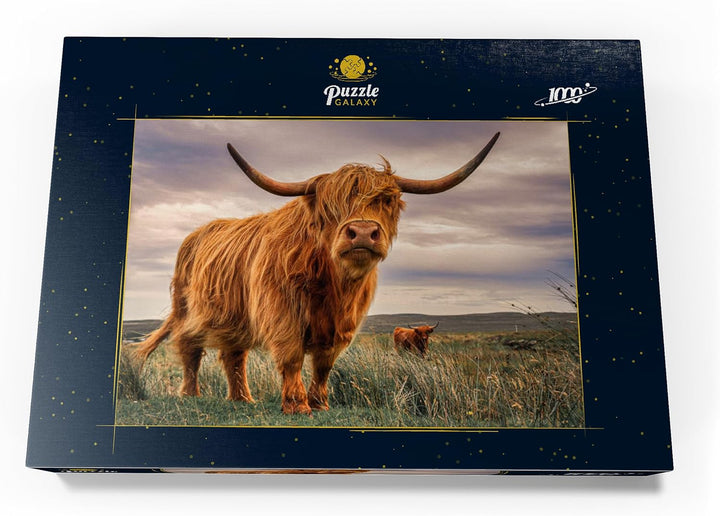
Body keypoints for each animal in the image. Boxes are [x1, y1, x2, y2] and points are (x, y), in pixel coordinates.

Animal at [133, 132, 500, 415]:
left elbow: (324, 364)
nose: (362, 232)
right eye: (330, 207)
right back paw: (191, 394)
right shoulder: (281, 313)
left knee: (233, 355)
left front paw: (320, 403)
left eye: (386, 201)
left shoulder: (342, 326)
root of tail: (197, 233)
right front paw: (297, 405)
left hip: (234, 318)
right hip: (187, 310)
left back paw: (242, 399)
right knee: (190, 348)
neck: (333, 285)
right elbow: (293, 356)